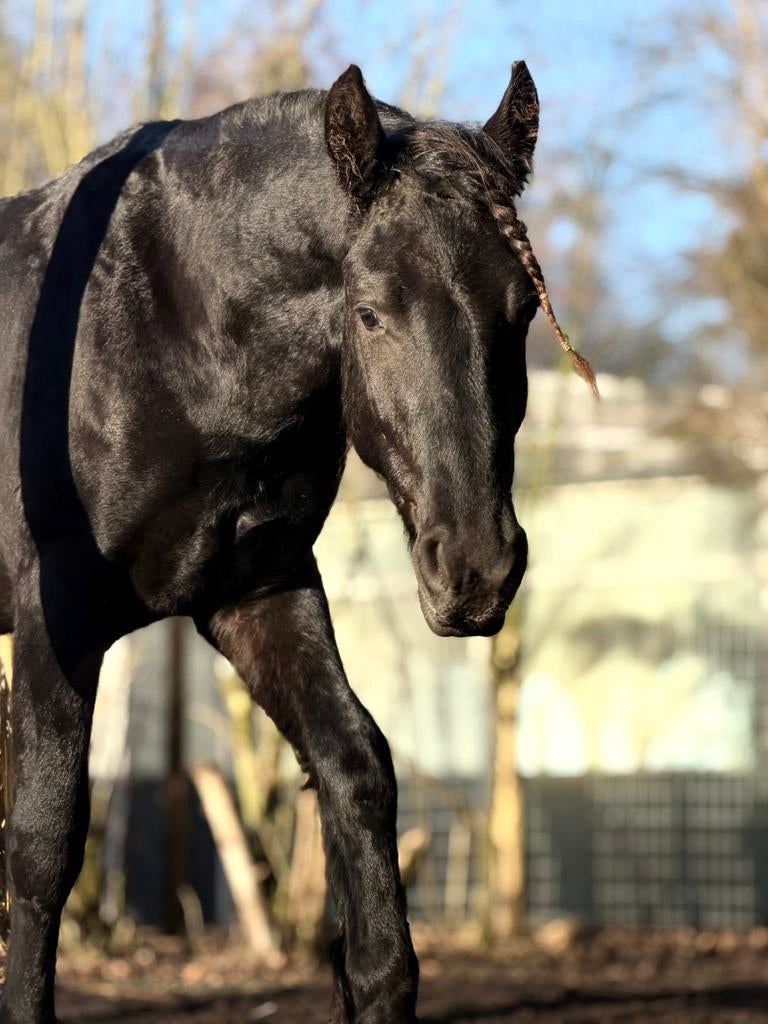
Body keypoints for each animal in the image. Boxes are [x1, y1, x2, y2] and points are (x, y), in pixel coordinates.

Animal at [0, 61, 595, 1023]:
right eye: (372, 313)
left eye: (519, 315)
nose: (476, 568)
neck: (165, 325)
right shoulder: (59, 622)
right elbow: (44, 847)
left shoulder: (259, 595)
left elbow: (356, 765)